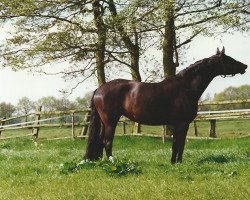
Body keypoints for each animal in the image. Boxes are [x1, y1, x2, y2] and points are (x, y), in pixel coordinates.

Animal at [83, 47, 246, 163]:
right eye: (229, 59)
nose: (244, 66)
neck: (185, 87)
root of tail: (99, 89)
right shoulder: (182, 123)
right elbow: (180, 144)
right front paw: (178, 162)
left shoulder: (176, 124)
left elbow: (175, 143)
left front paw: (173, 162)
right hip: (111, 121)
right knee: (107, 141)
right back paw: (112, 161)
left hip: (105, 122)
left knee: (100, 141)